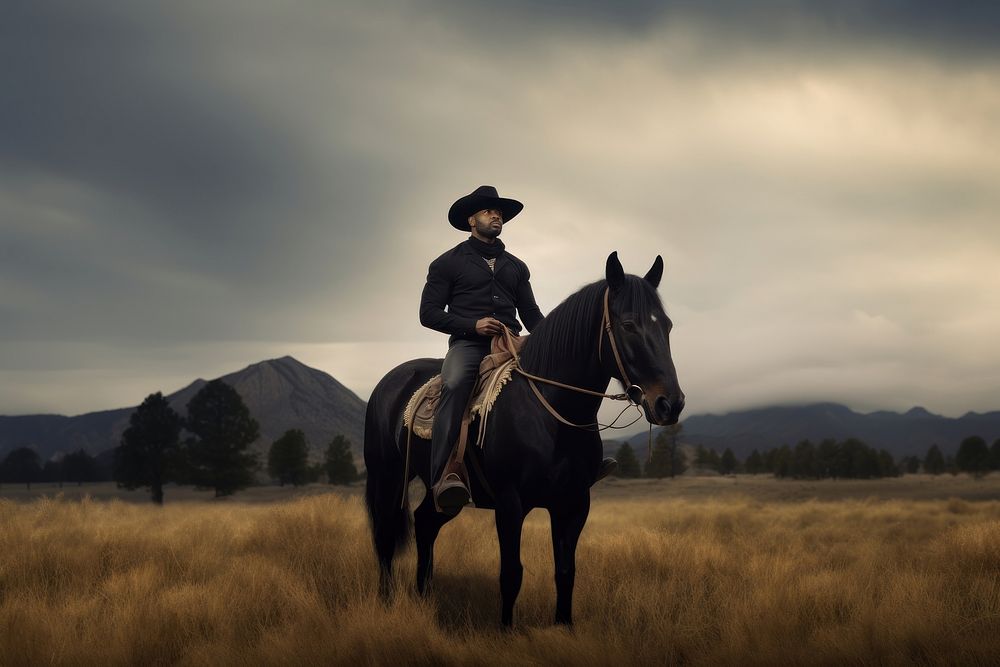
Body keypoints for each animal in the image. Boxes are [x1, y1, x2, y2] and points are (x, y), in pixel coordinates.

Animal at [364, 250, 684, 628]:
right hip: (386, 477)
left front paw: (564, 626)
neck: (550, 413)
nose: (670, 404)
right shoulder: (509, 502)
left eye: (667, 325)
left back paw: (424, 598)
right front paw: (505, 630)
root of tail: (390, 381)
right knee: (386, 538)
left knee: (426, 523)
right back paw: (386, 602)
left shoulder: (574, 502)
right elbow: (511, 574)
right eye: (629, 325)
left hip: (442, 493)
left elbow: (566, 572)